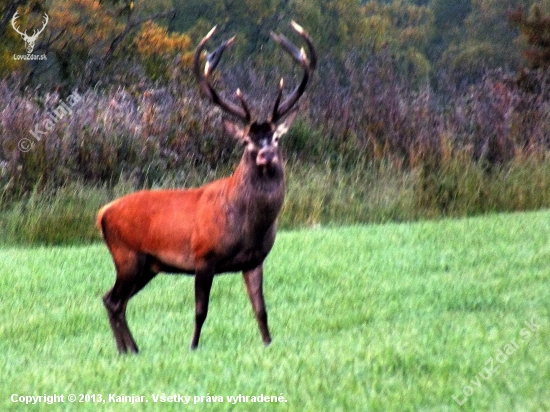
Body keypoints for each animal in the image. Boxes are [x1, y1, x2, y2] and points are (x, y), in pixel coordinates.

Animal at [97, 20, 316, 352]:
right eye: (246, 140)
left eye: (276, 138)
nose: (265, 154)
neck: (248, 225)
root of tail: (102, 213)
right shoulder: (203, 255)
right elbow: (201, 310)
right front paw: (193, 347)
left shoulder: (255, 260)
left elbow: (261, 309)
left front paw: (268, 344)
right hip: (127, 255)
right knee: (113, 299)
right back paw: (130, 349)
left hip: (147, 265)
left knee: (113, 300)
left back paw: (128, 350)